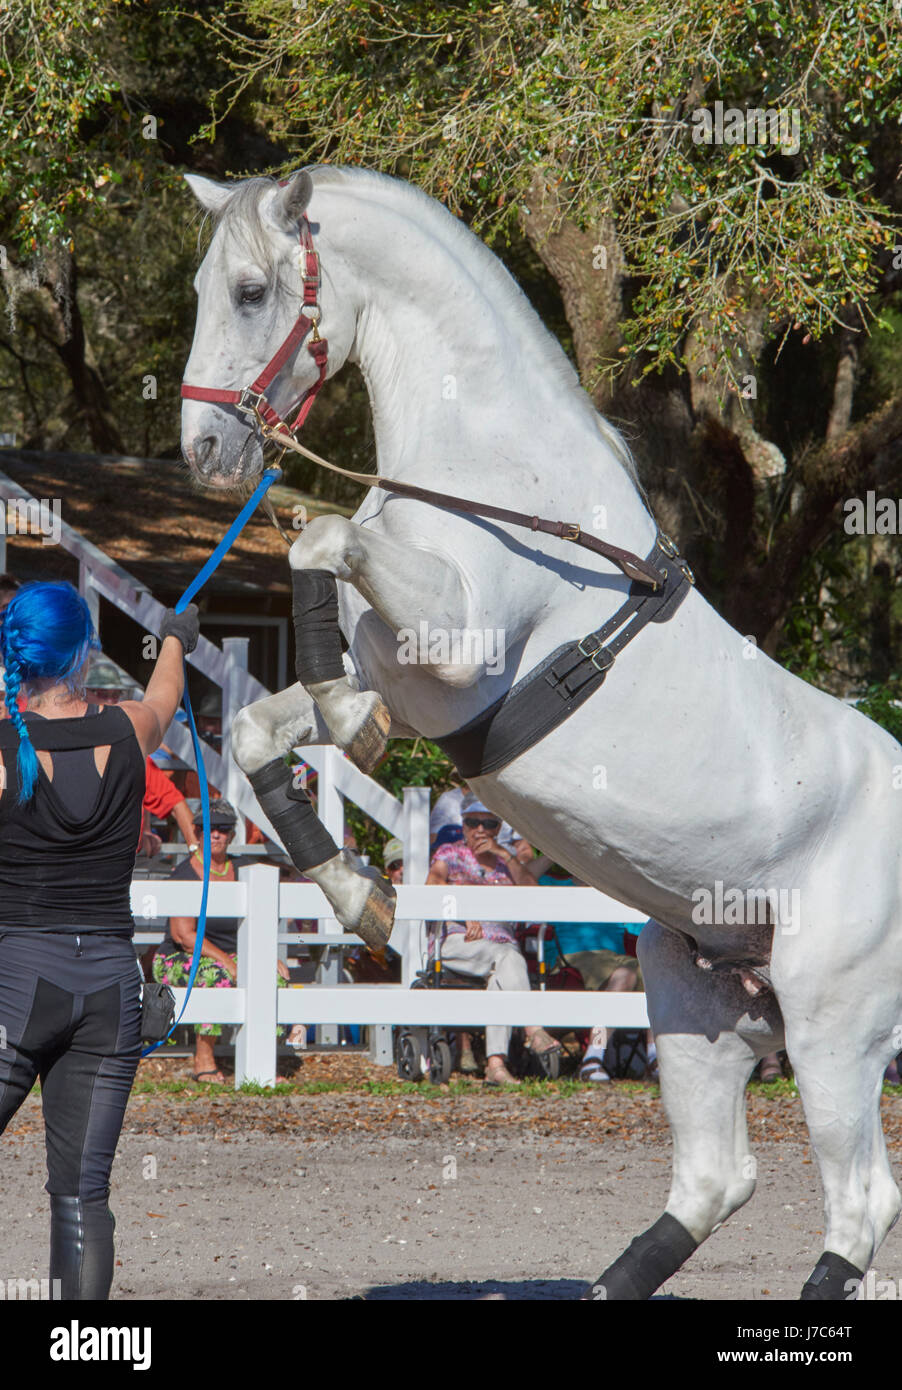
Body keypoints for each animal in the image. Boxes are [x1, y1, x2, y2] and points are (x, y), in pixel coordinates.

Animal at [178, 165, 902, 1300]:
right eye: (205, 288)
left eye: (251, 292)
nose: (203, 451)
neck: (490, 468)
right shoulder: (410, 683)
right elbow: (260, 728)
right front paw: (361, 893)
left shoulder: (456, 646)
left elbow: (320, 537)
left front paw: (342, 731)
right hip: (697, 1002)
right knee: (714, 1180)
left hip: (835, 1023)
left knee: (860, 1201)